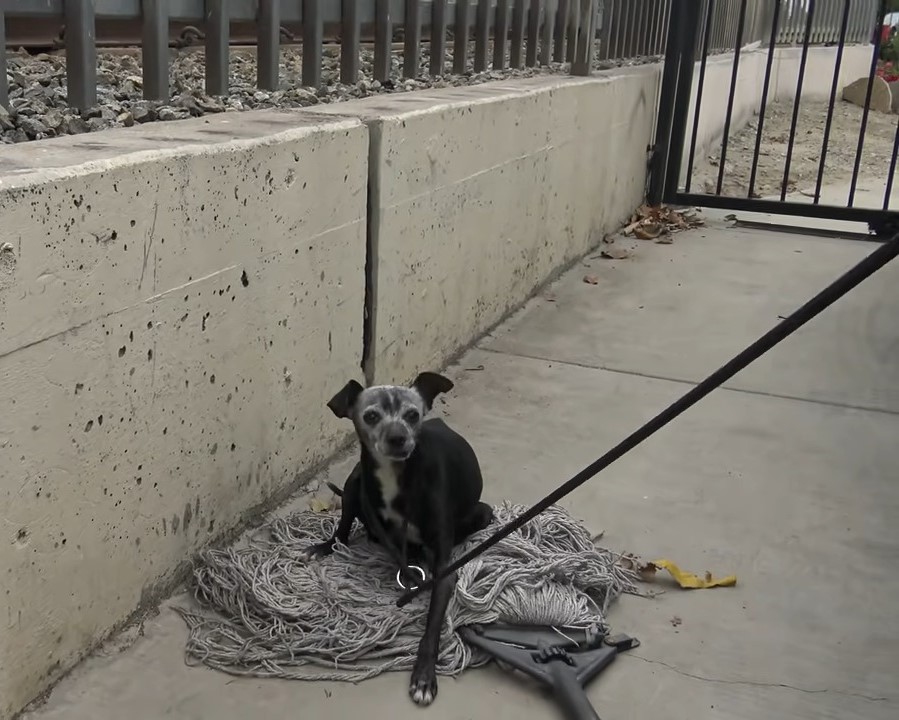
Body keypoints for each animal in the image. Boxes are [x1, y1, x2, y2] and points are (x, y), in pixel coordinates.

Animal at [308, 374, 492, 704]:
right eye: (370, 416)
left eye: (412, 415)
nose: (398, 437)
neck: (397, 479)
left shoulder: (444, 573)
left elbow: (432, 626)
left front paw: (424, 676)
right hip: (353, 483)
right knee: (343, 529)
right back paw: (326, 547)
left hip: (482, 513)